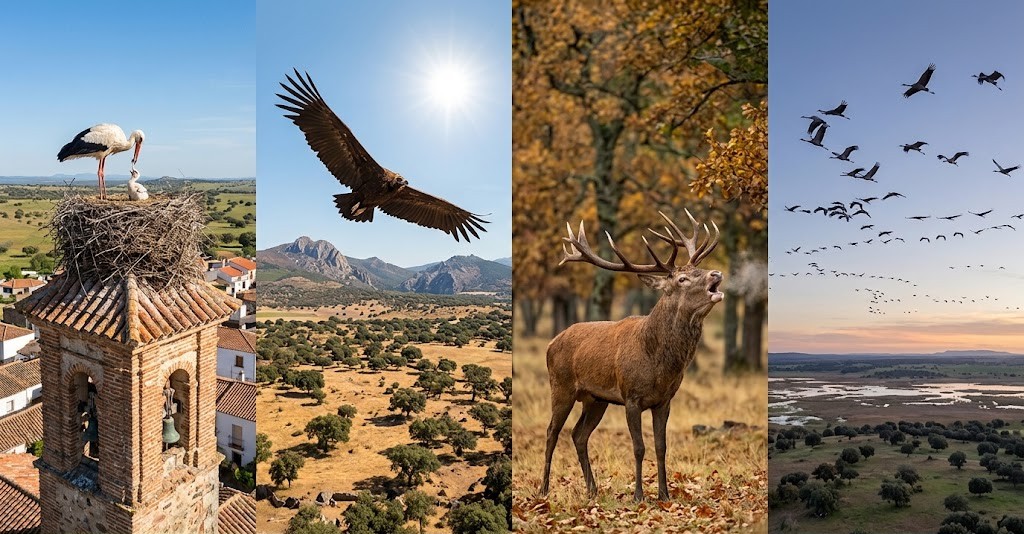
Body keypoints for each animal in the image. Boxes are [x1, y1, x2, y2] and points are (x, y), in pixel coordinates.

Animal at [540, 209, 723, 502]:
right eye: (682, 279)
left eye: (698, 270)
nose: (716, 273)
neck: (659, 366)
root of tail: (551, 342)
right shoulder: (631, 396)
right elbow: (639, 447)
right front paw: (638, 495)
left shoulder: (664, 400)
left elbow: (661, 446)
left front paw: (664, 494)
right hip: (561, 386)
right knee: (551, 432)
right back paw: (544, 489)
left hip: (595, 399)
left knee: (579, 435)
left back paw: (593, 489)